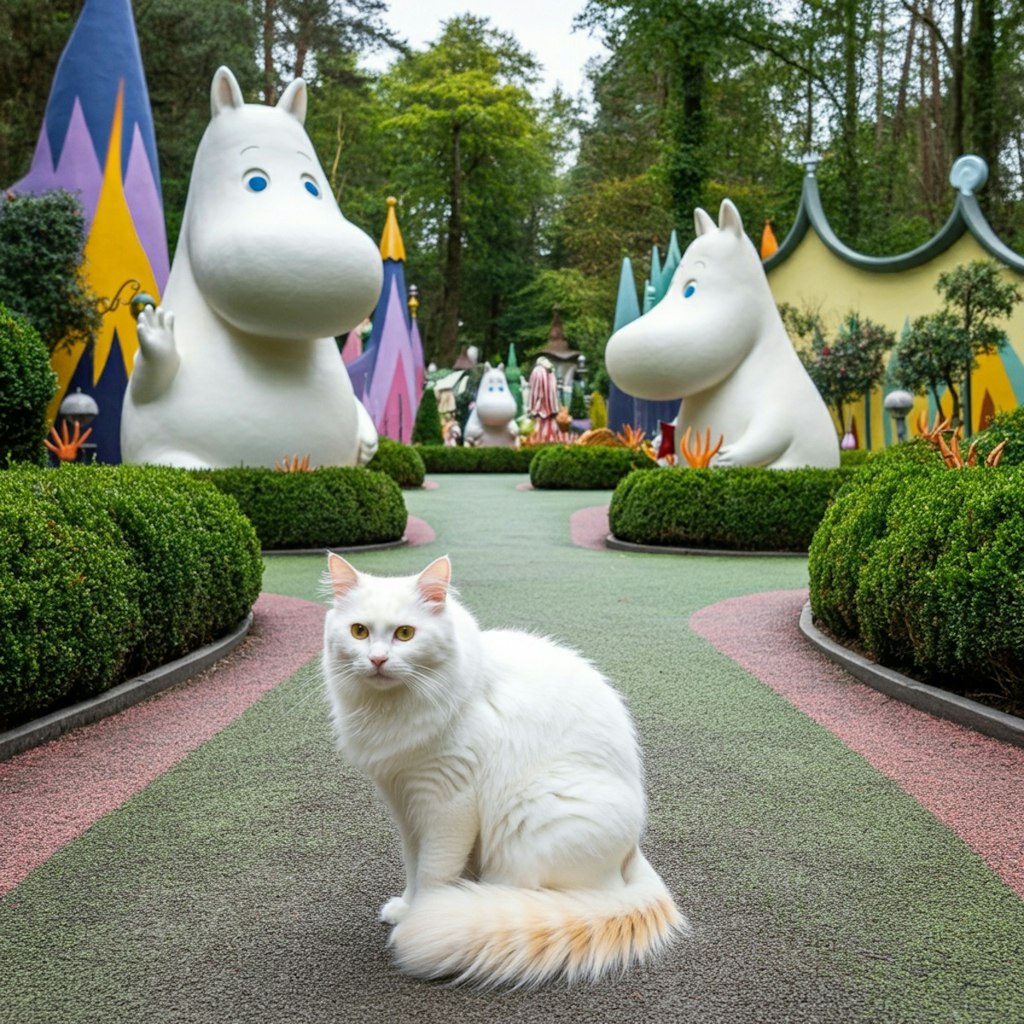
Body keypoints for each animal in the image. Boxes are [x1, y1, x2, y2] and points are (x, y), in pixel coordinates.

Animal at [323, 557, 684, 987]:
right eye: (359, 631)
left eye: (405, 634)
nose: (377, 660)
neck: (390, 711)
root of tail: (632, 853)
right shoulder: (403, 800)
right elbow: (413, 866)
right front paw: (406, 908)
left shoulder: (448, 803)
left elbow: (432, 873)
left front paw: (421, 919)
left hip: (530, 824)